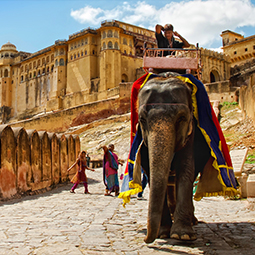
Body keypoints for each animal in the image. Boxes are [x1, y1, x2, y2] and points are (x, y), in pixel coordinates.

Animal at [136, 73, 212, 243]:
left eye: (182, 118)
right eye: (142, 119)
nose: (145, 239)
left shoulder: (190, 133)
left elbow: (186, 169)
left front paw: (183, 235)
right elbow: (151, 173)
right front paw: (163, 233)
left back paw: (192, 221)